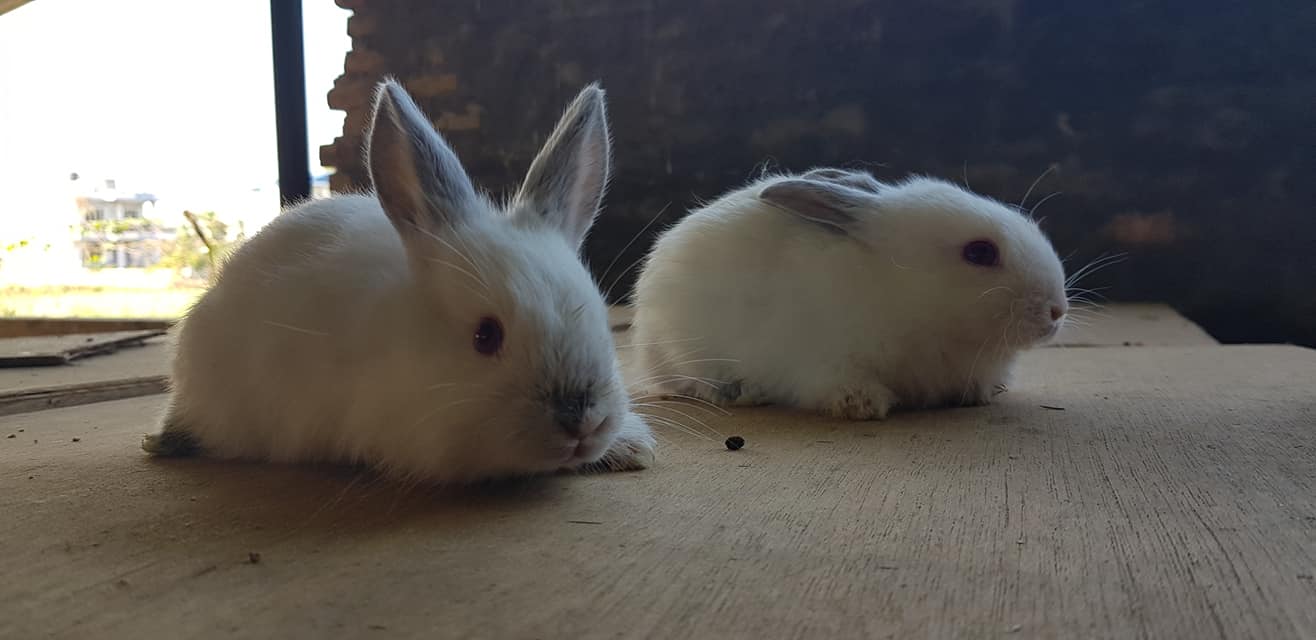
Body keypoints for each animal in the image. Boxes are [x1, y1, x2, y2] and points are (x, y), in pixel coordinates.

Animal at [627, 167, 1069, 420]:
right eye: (980, 252)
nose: (1057, 311)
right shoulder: (820, 362)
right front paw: (864, 406)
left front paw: (983, 394)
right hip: (682, 347)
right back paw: (740, 392)